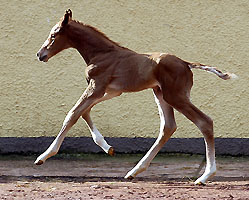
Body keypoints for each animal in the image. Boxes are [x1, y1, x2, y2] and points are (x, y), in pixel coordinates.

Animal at [36, 9, 236, 184]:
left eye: (53, 35)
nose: (40, 54)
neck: (101, 53)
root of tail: (186, 63)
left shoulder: (96, 88)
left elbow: (72, 114)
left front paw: (44, 156)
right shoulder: (110, 91)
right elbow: (84, 112)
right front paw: (108, 148)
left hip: (175, 96)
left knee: (204, 122)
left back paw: (205, 176)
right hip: (160, 93)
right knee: (168, 127)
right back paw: (135, 171)